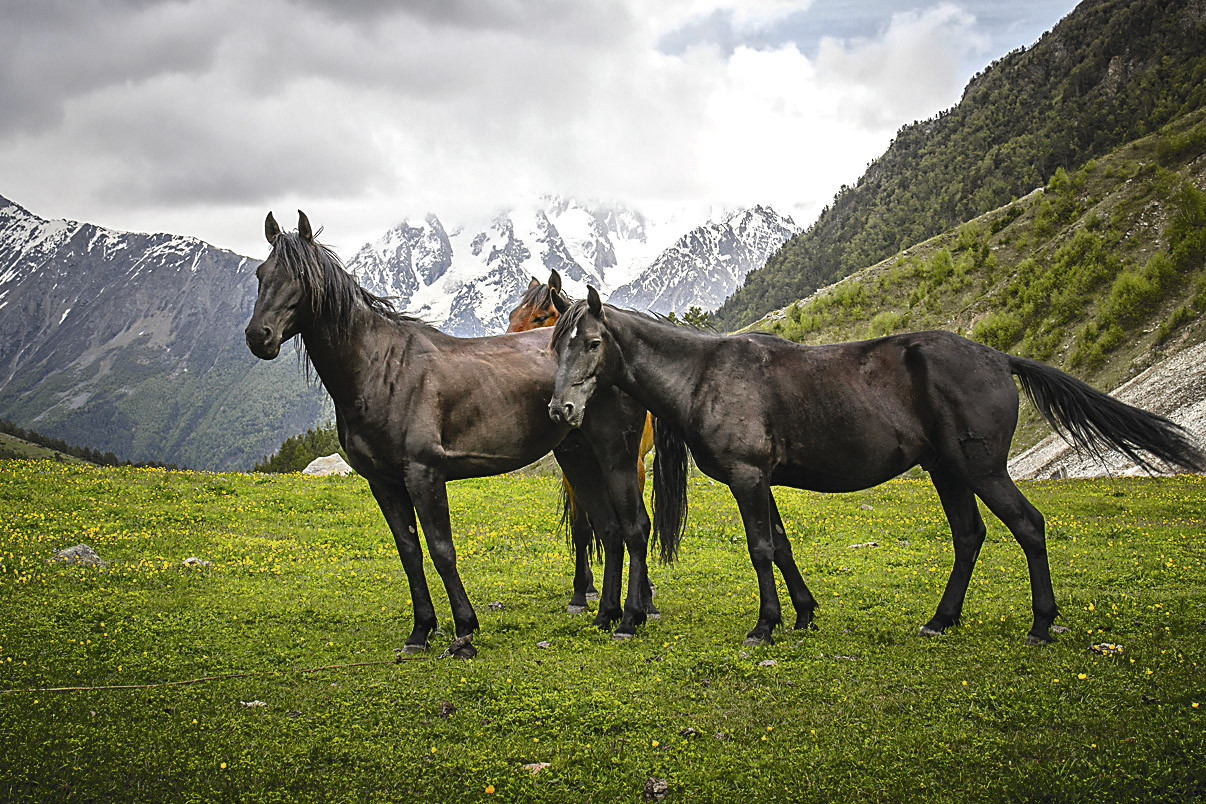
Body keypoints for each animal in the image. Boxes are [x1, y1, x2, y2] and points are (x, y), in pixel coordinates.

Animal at [506, 271, 657, 613]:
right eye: (511, 316)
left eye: (539, 317)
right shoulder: (572, 470)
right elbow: (581, 528)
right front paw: (580, 591)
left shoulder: (631, 465)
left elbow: (634, 522)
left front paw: (642, 596)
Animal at [547, 287, 1205, 646]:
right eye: (555, 345)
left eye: (591, 342)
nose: (561, 409)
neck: (707, 373)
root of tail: (997, 357)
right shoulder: (763, 480)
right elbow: (782, 545)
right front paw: (804, 613)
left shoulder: (748, 477)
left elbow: (761, 548)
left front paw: (766, 624)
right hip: (948, 472)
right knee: (969, 536)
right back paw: (941, 620)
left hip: (981, 470)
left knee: (1028, 526)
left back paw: (1041, 623)